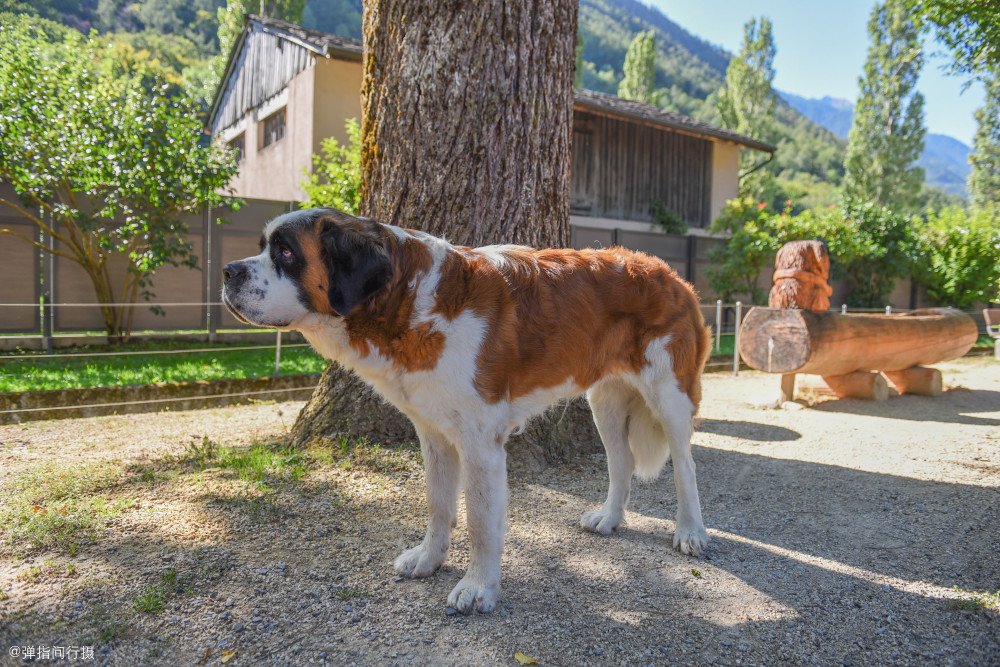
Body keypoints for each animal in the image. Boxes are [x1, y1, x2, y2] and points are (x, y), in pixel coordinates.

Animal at [224, 207, 716, 616]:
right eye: (263, 246)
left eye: (286, 252)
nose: (228, 271)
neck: (409, 301)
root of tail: (670, 273)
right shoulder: (435, 433)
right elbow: (439, 503)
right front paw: (428, 559)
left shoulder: (481, 443)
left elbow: (480, 521)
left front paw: (478, 588)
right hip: (605, 401)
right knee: (621, 461)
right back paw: (610, 519)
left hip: (671, 395)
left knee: (686, 466)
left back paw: (691, 532)